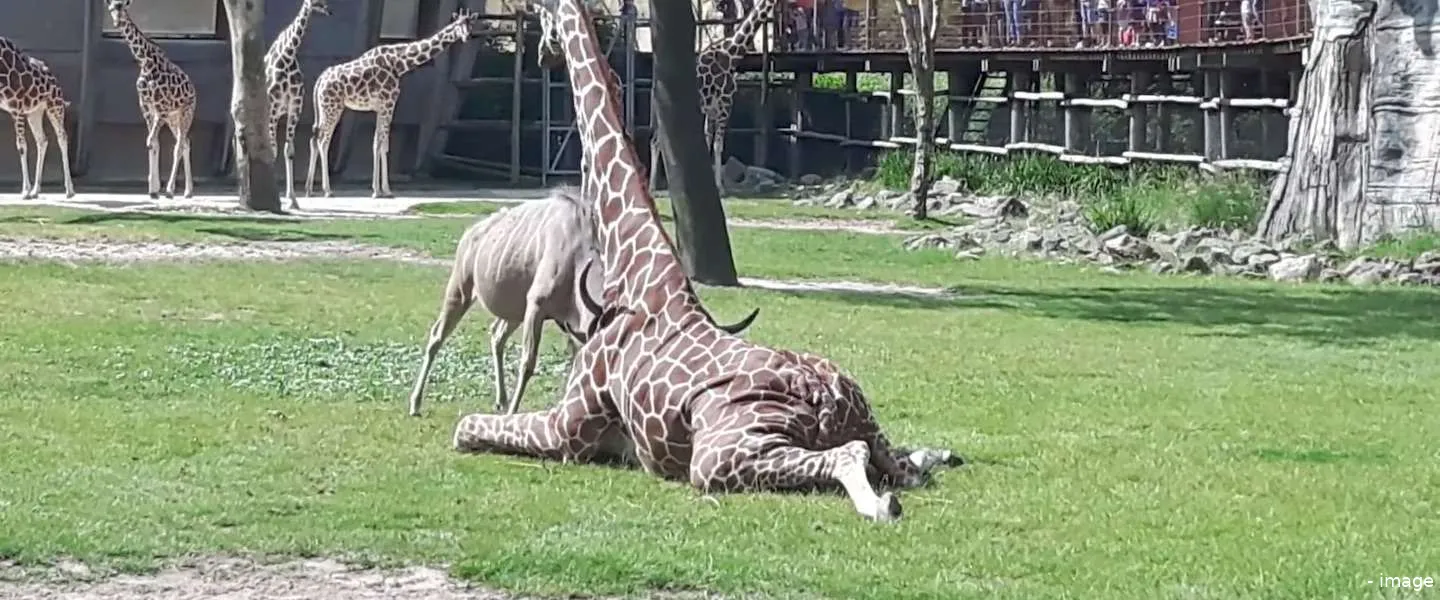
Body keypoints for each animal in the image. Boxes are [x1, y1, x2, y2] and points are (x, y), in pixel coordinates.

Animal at [0, 38, 76, 199]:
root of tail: (54, 77)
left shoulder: (17, 109)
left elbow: (21, 146)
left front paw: (25, 191)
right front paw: (29, 190)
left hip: (54, 105)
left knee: (62, 137)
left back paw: (69, 190)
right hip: (35, 112)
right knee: (42, 140)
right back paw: (36, 190)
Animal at [108, 0, 196, 200]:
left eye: (122, 8)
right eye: (111, 9)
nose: (116, 23)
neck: (145, 62)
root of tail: (194, 92)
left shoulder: (160, 107)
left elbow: (152, 141)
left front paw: (158, 188)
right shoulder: (146, 106)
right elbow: (153, 144)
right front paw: (153, 189)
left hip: (185, 113)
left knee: (180, 145)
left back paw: (171, 190)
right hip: (173, 118)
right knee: (185, 142)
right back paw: (187, 191)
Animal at [265, 0, 330, 209]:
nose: (328, 9)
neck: (287, 55)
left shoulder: (295, 107)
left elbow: (289, 151)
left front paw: (292, 199)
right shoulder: (273, 107)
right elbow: (273, 150)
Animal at [305, 10, 480, 200]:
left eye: (470, 24)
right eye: (458, 25)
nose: (467, 37)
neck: (399, 63)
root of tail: (320, 80)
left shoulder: (381, 107)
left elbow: (380, 143)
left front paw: (382, 189)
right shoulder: (389, 103)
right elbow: (381, 143)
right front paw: (381, 190)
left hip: (322, 109)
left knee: (314, 138)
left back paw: (309, 189)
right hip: (333, 107)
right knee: (323, 140)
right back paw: (327, 190)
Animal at [649, 0, 776, 194]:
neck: (730, 55)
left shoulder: (712, 110)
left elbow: (708, 142)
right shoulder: (725, 104)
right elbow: (718, 145)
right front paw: (720, 188)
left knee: (657, 141)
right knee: (657, 141)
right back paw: (651, 187)